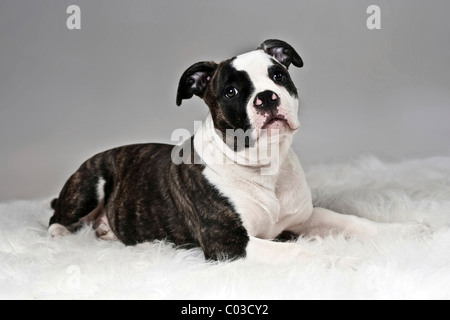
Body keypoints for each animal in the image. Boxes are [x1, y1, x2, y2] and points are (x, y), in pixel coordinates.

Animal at [49, 39, 426, 264]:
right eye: (230, 91)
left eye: (278, 76)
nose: (267, 97)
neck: (265, 166)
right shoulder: (230, 244)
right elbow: (299, 253)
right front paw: (339, 259)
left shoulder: (305, 218)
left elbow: (351, 221)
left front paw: (402, 230)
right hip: (92, 181)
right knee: (57, 215)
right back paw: (60, 237)